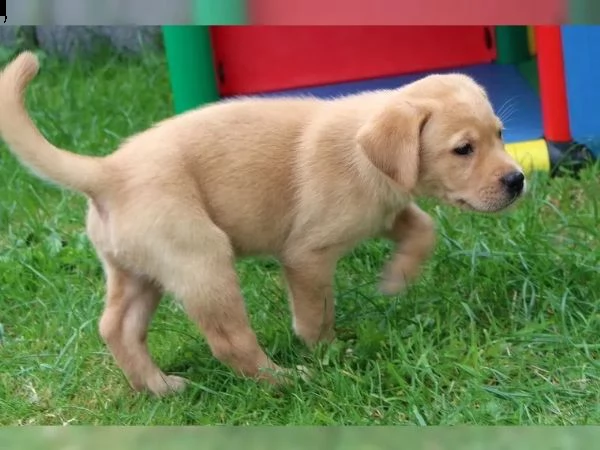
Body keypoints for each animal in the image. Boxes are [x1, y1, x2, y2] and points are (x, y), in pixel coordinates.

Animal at [0, 52, 524, 396]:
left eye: (501, 135)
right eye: (463, 149)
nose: (518, 180)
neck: (367, 156)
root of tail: (108, 171)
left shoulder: (386, 211)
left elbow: (422, 228)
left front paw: (397, 279)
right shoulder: (307, 255)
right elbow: (315, 315)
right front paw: (328, 352)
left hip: (138, 271)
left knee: (116, 328)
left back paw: (159, 386)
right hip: (202, 259)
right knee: (230, 342)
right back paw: (286, 380)